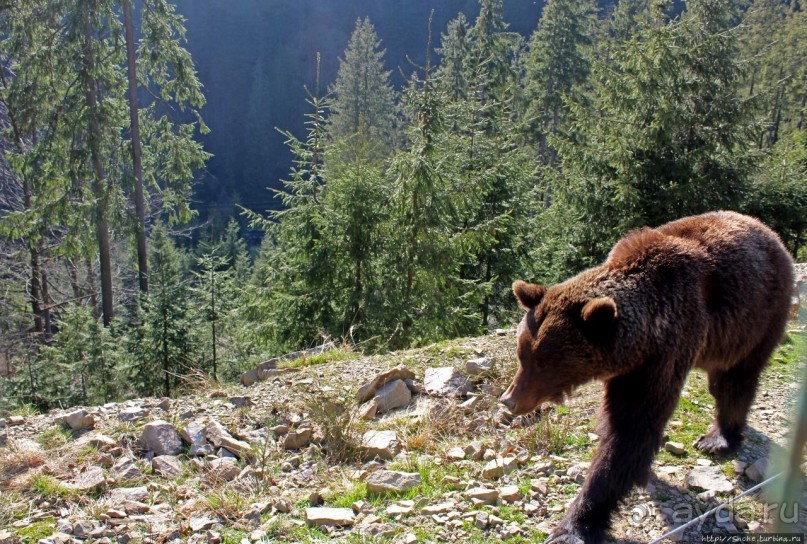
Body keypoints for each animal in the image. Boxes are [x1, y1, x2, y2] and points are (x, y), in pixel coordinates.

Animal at [498, 211, 796, 544]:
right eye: (522, 354)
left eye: (544, 363)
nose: (509, 400)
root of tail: (767, 230)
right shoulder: (630, 366)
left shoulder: (665, 351)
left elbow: (632, 429)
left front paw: (574, 526)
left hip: (758, 316)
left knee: (735, 381)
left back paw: (719, 439)